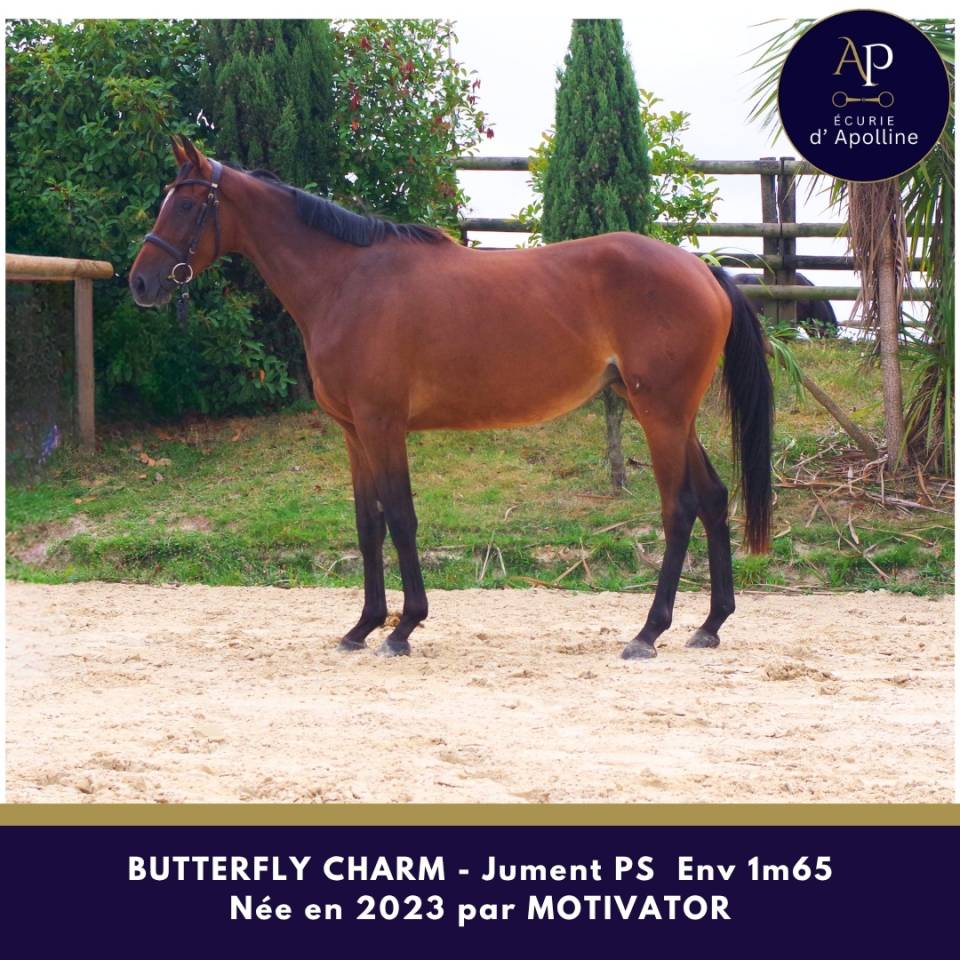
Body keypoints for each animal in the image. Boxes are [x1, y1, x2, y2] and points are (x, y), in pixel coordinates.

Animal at [130, 136, 773, 661]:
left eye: (185, 204)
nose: (140, 282)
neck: (346, 282)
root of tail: (703, 269)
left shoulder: (382, 424)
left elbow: (401, 518)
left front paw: (402, 628)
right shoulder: (354, 432)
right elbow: (367, 523)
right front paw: (361, 627)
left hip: (660, 413)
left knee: (679, 508)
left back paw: (648, 632)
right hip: (672, 415)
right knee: (713, 498)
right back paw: (710, 624)